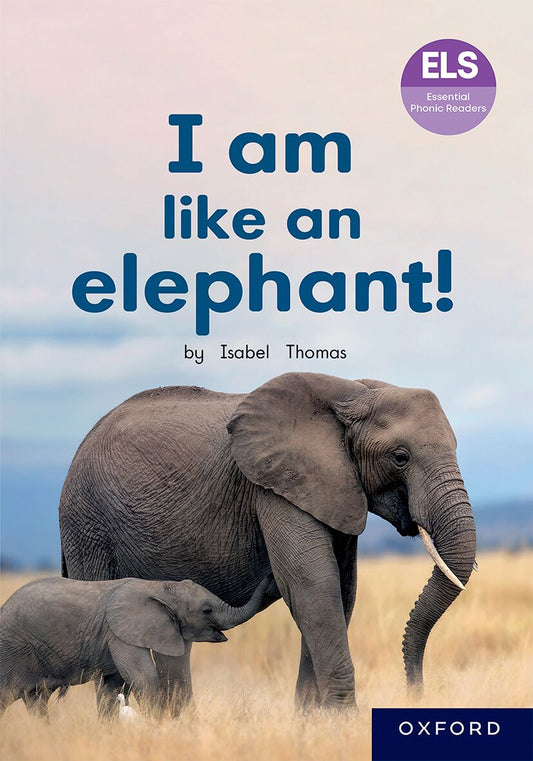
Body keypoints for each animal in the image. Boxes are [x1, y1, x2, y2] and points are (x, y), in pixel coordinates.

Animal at [0, 574, 271, 718]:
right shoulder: (120, 634)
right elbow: (145, 677)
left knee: (36, 701)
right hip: (11, 650)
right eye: (206, 611)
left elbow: (116, 686)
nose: (269, 578)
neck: (160, 586)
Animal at [59, 372, 477, 711]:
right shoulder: (273, 486)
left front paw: (314, 723)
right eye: (400, 456)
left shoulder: (333, 486)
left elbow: (340, 591)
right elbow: (313, 586)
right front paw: (343, 722)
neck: (352, 392)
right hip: (87, 524)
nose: (415, 693)